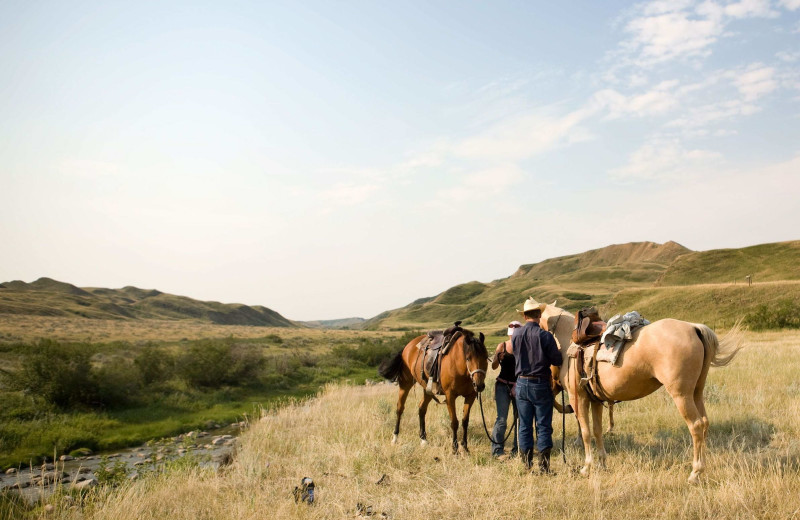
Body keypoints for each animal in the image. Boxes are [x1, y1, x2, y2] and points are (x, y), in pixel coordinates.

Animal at [540, 300, 748, 484]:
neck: (568, 342)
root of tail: (694, 327)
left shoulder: (579, 398)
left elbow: (585, 432)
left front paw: (586, 467)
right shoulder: (595, 400)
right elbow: (597, 431)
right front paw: (602, 464)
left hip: (681, 395)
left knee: (696, 426)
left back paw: (695, 473)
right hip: (696, 392)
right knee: (704, 423)